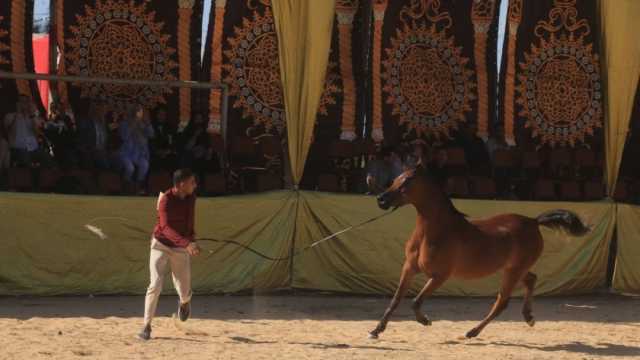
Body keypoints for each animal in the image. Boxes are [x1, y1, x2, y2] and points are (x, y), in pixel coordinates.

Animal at [370, 165, 592, 338]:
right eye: (395, 179)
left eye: (407, 181)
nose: (381, 200)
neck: (434, 232)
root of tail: (532, 221)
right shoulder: (409, 268)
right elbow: (395, 300)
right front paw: (376, 331)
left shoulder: (440, 275)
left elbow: (416, 302)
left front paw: (425, 321)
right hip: (514, 268)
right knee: (531, 279)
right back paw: (528, 317)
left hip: (513, 271)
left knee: (502, 301)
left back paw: (472, 332)